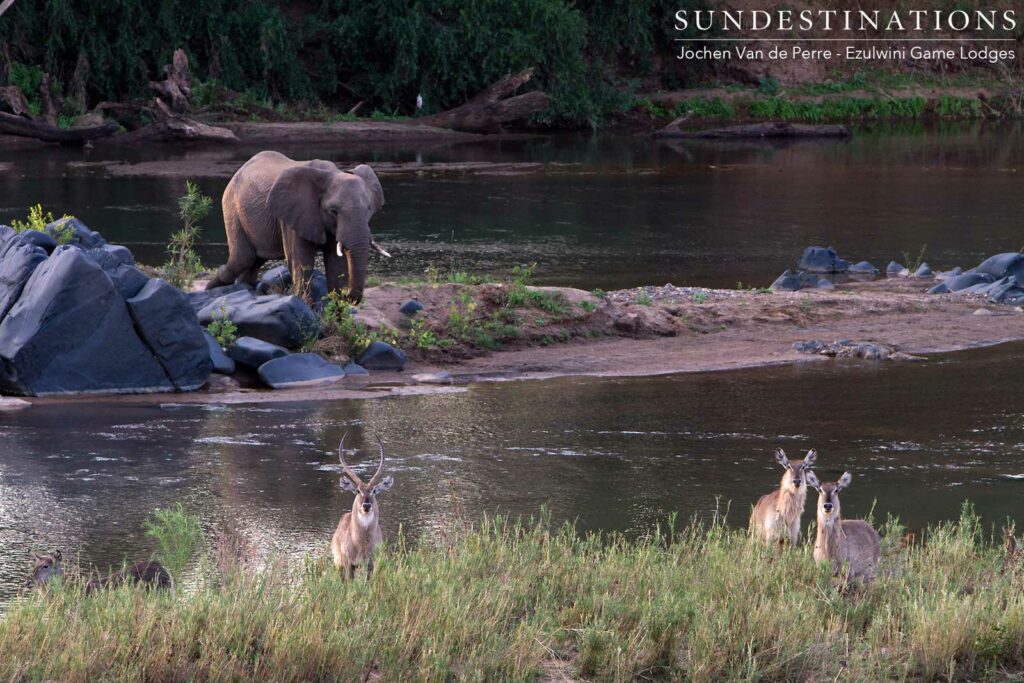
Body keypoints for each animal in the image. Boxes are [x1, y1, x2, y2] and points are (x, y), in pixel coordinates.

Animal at [207, 150, 386, 303]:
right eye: (333, 211)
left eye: (369, 209)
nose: (349, 298)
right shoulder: (292, 214)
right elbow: (301, 262)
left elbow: (336, 264)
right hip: (231, 206)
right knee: (243, 258)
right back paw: (210, 288)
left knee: (254, 260)